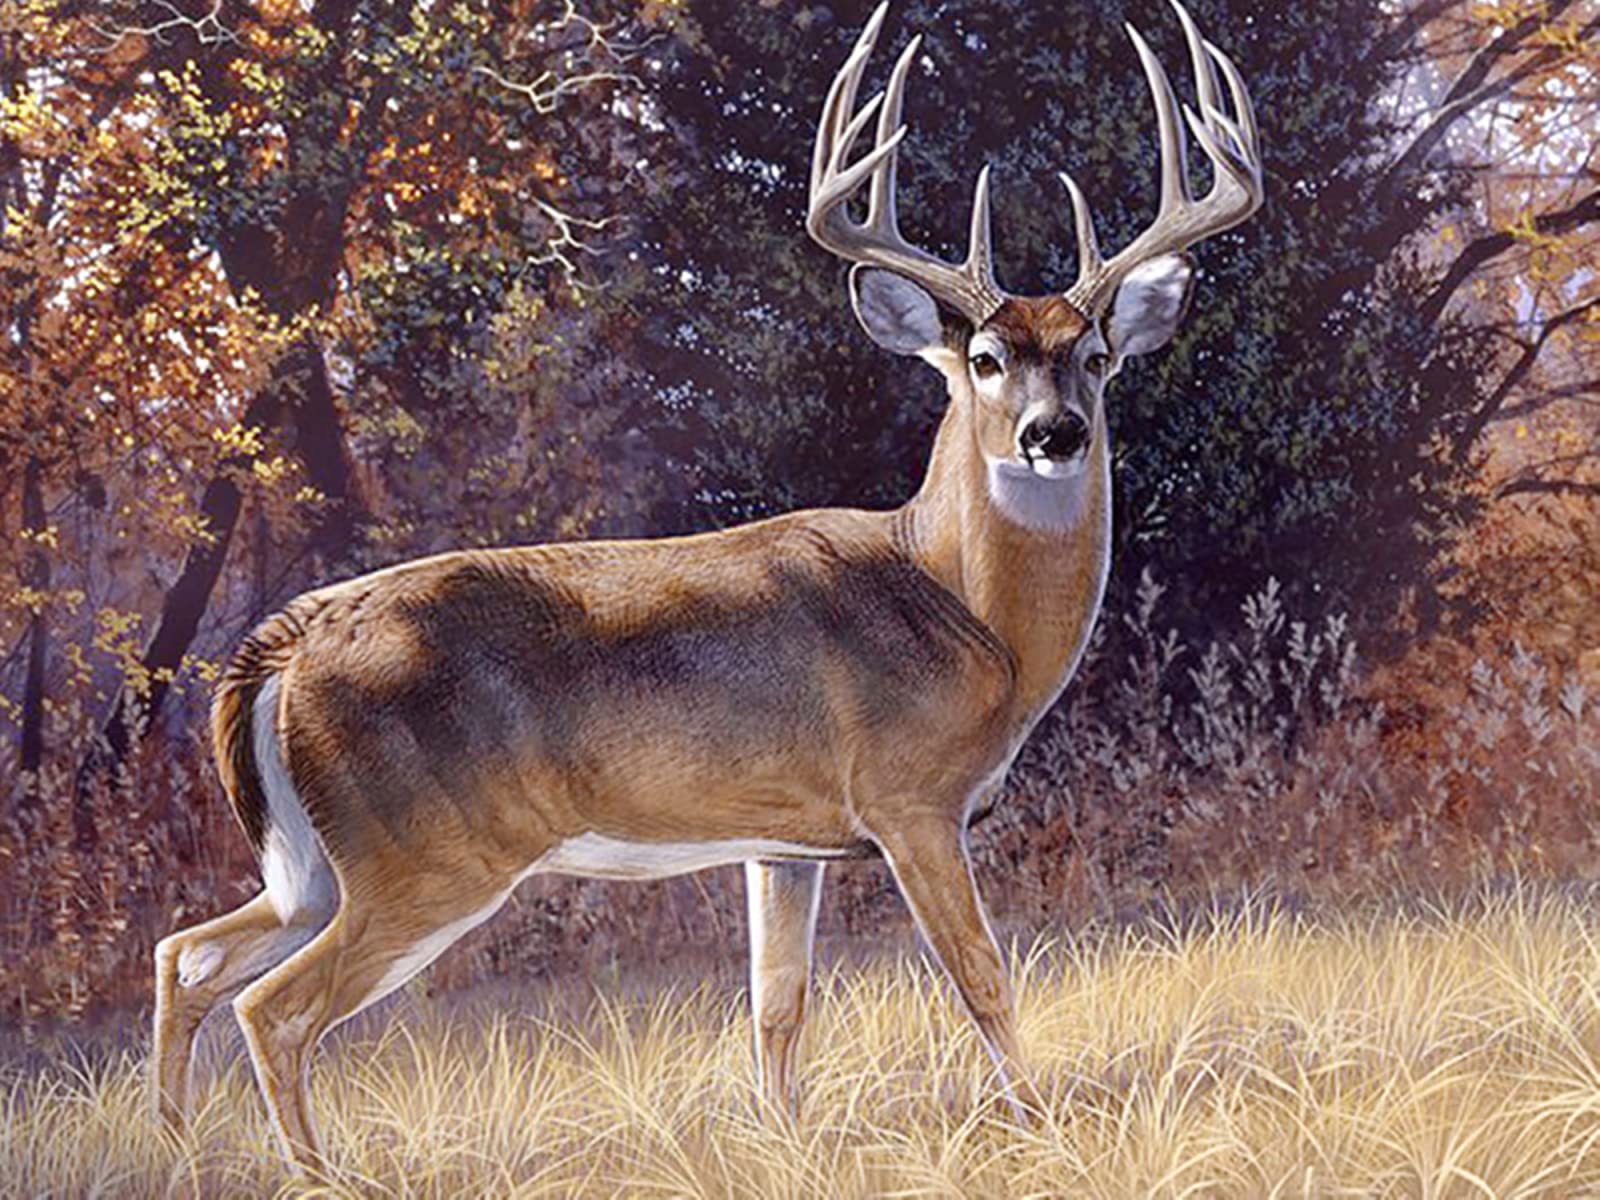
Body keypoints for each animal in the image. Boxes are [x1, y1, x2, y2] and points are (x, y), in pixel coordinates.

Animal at [150, 0, 1262, 1172]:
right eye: (988, 359)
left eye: (1094, 355)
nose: (1055, 433)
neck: (963, 610)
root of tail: (284, 646)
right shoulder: (910, 796)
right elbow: (982, 976)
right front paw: (1038, 1127)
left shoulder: (784, 840)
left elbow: (777, 1006)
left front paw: (788, 1143)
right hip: (426, 852)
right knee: (273, 1006)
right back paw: (319, 1174)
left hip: (316, 865)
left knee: (187, 955)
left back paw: (177, 1151)